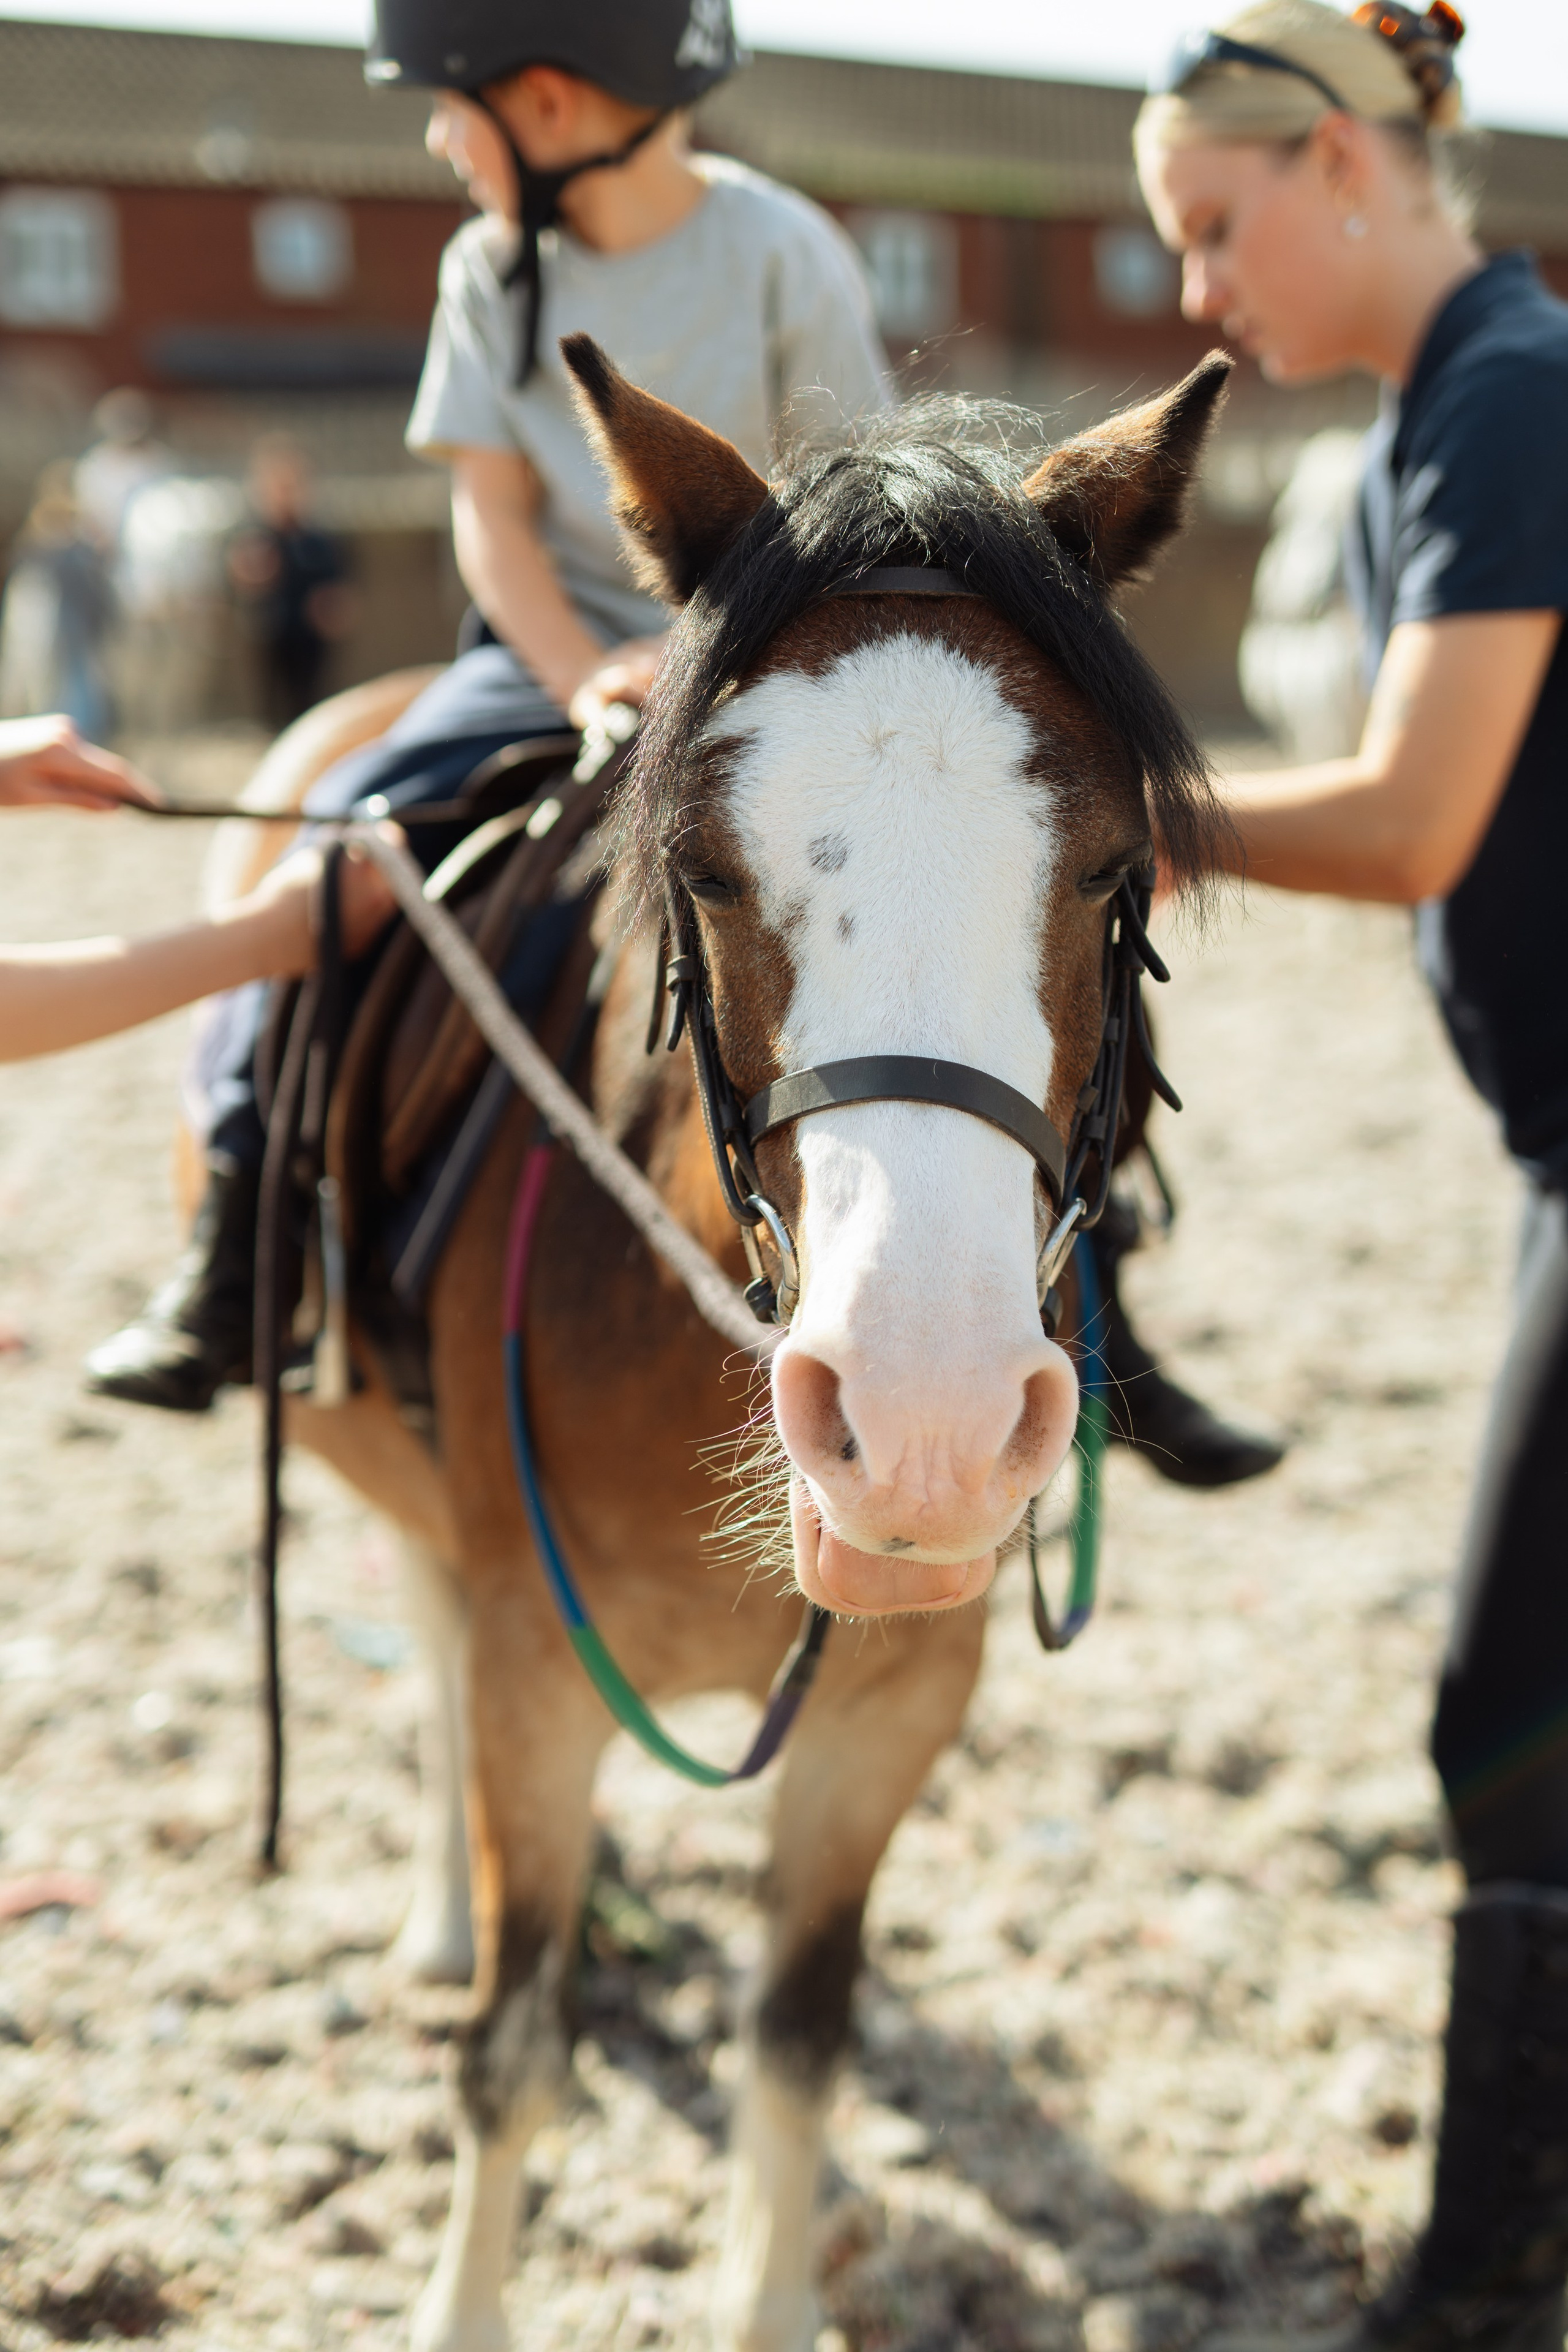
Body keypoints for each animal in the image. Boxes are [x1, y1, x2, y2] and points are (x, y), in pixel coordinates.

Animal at [206, 340, 1229, 2352]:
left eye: (1109, 869)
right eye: (704, 860)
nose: (921, 1424)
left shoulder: (888, 1718)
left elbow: (797, 2052)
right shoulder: (535, 1663)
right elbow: (511, 2052)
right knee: (428, 1642)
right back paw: (443, 1907)